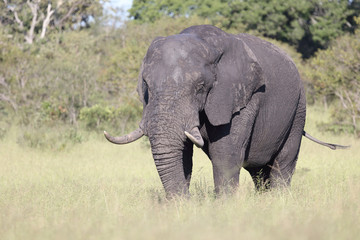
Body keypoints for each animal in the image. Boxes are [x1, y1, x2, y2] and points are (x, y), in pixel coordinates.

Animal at [103, 24, 346, 197]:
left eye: (201, 87)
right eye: (146, 85)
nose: (186, 200)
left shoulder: (244, 95)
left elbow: (225, 152)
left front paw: (224, 206)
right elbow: (183, 153)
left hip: (298, 108)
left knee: (283, 161)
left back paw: (278, 201)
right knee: (259, 172)